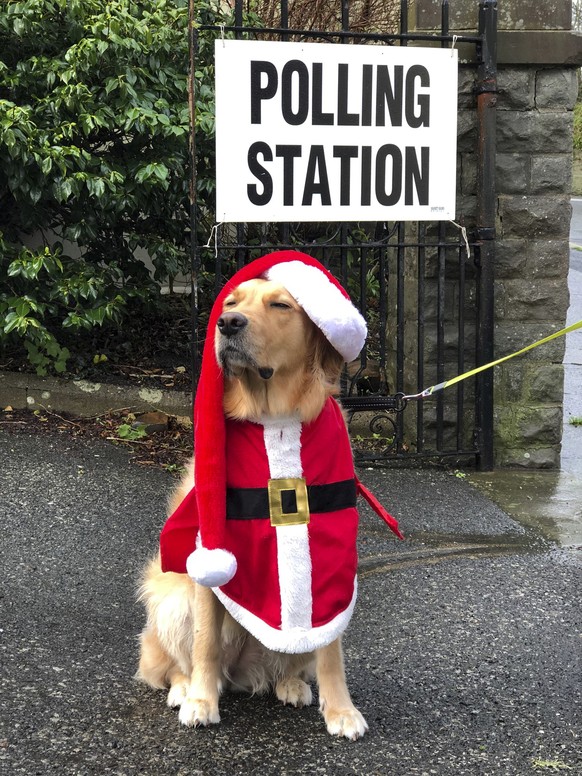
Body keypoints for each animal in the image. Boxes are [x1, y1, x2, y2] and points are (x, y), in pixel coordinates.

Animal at [137, 278, 370, 740]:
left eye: (280, 305)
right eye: (231, 302)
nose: (227, 324)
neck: (275, 418)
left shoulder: (331, 560)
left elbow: (330, 651)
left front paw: (341, 710)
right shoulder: (210, 548)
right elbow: (205, 643)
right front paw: (201, 702)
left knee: (290, 661)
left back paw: (290, 683)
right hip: (172, 600)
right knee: (173, 664)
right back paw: (186, 688)